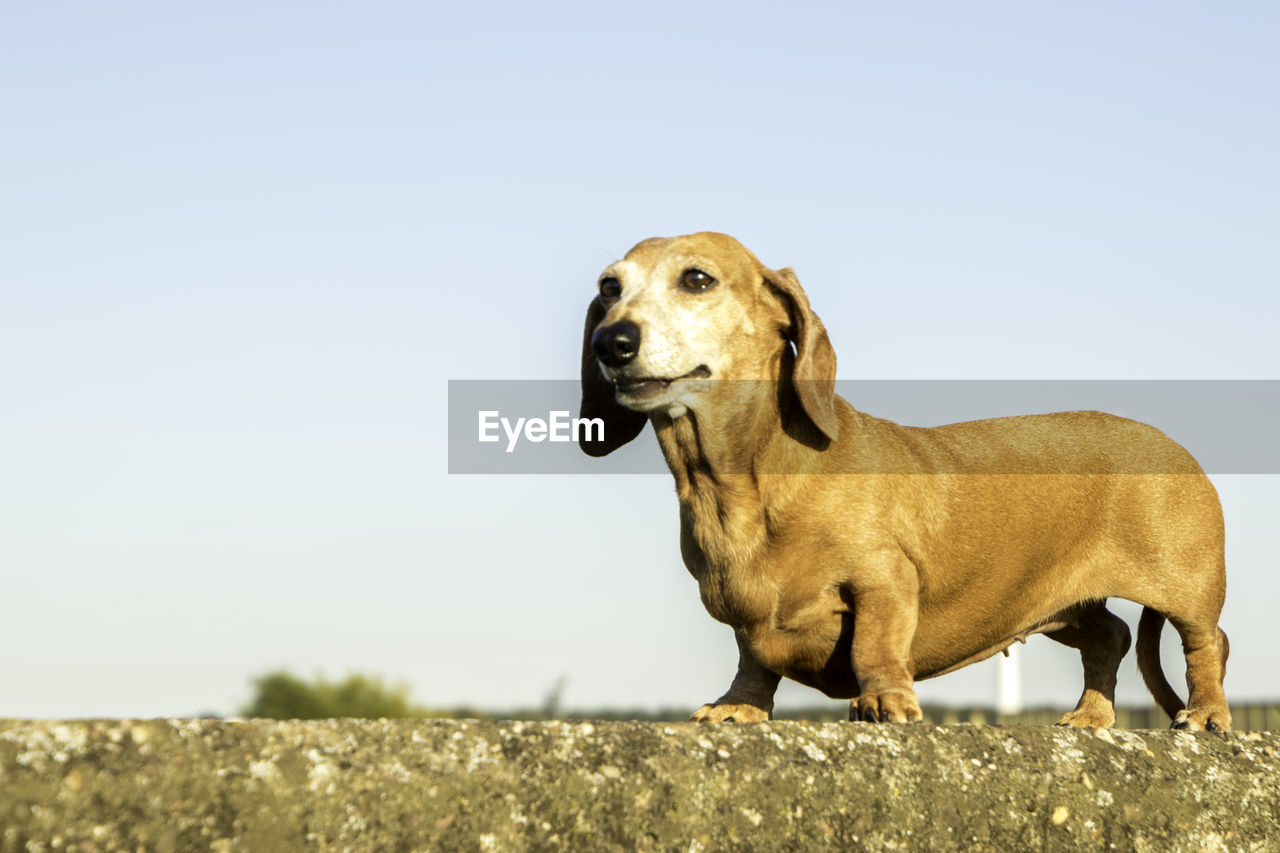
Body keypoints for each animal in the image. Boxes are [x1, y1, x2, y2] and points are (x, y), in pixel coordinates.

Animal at [581, 229, 1228, 727]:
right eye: (610, 288)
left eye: (697, 279)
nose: (612, 342)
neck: (743, 483)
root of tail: (1173, 445)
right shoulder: (750, 612)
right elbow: (752, 660)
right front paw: (738, 706)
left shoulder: (884, 579)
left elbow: (875, 644)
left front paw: (884, 701)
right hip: (1058, 606)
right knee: (1111, 637)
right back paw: (1091, 716)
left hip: (1190, 590)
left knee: (1206, 645)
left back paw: (1205, 714)